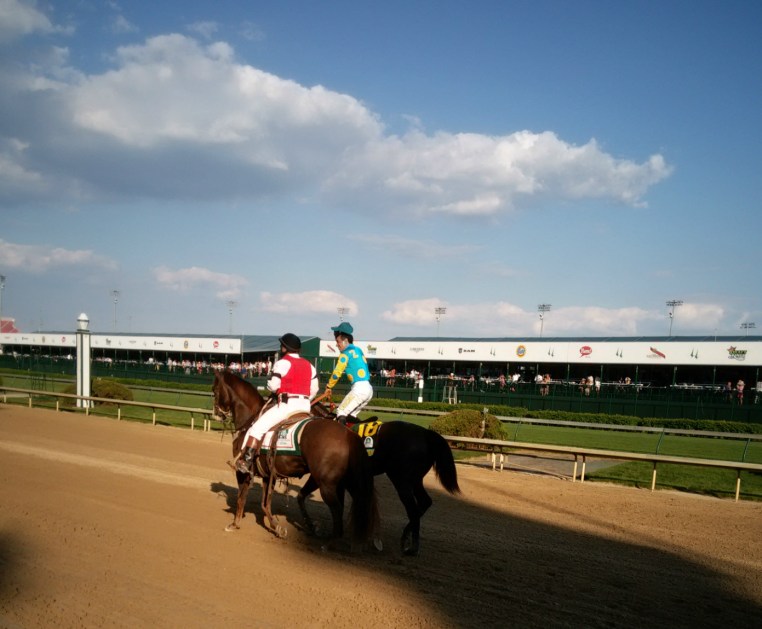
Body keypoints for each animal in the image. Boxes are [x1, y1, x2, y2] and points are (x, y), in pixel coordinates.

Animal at [212, 370, 376, 550]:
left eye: (214, 391)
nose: (216, 414)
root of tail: (349, 434)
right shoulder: (268, 473)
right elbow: (265, 503)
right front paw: (277, 527)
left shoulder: (243, 472)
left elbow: (242, 497)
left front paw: (234, 524)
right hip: (342, 480)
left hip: (327, 484)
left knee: (337, 509)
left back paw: (330, 542)